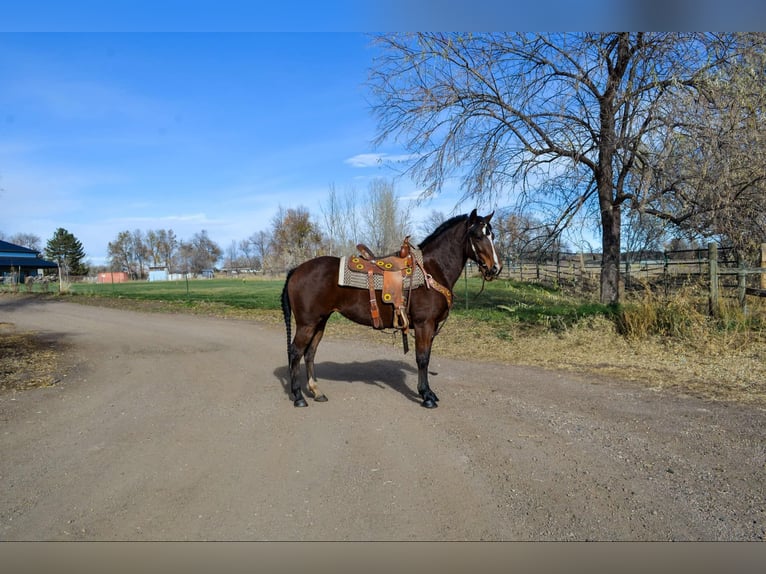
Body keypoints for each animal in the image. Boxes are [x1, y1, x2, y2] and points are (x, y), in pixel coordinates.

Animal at [282, 210, 504, 410]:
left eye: (492, 235)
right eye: (478, 236)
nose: (495, 268)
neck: (431, 270)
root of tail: (296, 270)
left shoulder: (431, 328)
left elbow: (427, 357)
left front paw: (429, 393)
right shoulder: (424, 325)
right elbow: (422, 359)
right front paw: (426, 396)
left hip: (320, 321)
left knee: (310, 353)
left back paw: (316, 391)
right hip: (307, 324)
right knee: (296, 352)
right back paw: (298, 396)